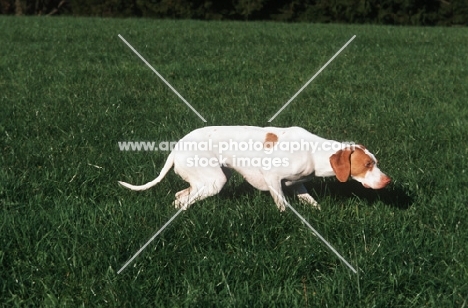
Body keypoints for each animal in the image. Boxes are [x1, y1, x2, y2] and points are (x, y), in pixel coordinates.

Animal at [119, 126, 390, 211]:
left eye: (375, 162)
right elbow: (283, 207)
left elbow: (313, 203)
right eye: (368, 164)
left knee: (179, 197)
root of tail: (175, 149)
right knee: (184, 200)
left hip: (206, 181)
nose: (388, 181)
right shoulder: (272, 179)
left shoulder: (298, 185)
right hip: (214, 181)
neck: (314, 152)